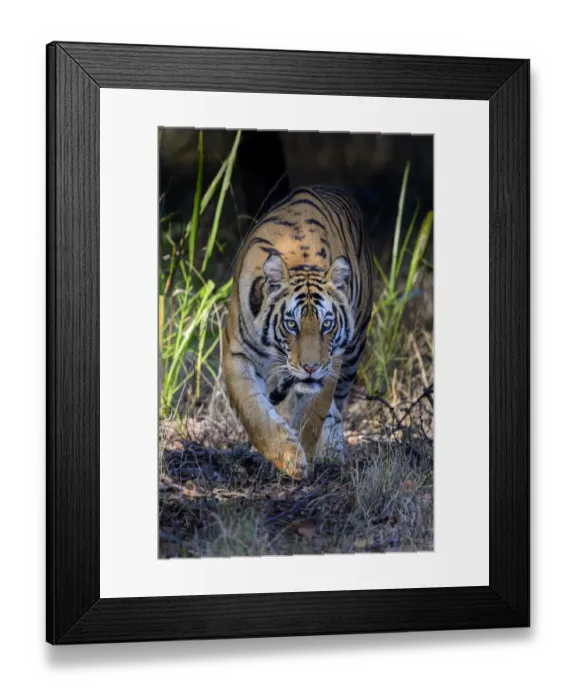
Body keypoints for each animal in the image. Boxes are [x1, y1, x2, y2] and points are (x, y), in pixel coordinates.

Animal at [223, 185, 373, 480]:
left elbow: (311, 416)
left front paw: (301, 458)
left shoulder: (331, 362)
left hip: (353, 353)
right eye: (291, 324)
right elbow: (253, 411)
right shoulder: (237, 353)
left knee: (338, 407)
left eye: (327, 324)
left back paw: (333, 454)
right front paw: (288, 456)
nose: (311, 367)